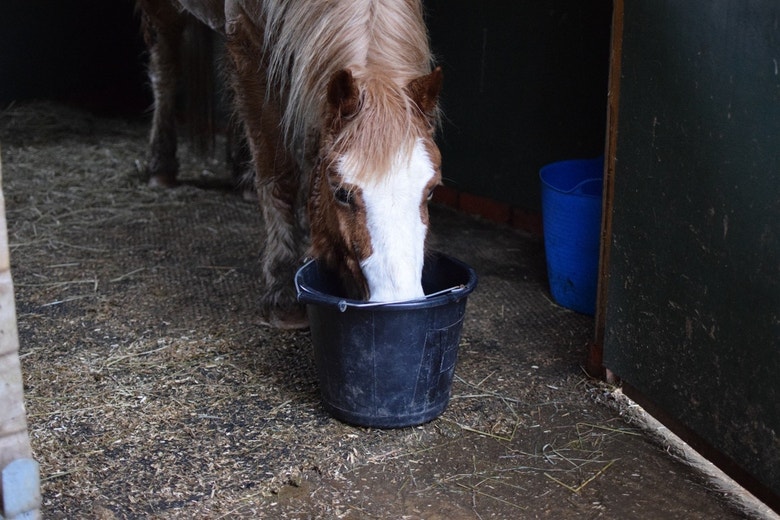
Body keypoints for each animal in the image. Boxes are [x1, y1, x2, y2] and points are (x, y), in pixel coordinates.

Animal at [135, 0, 443, 328]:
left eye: (431, 190)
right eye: (341, 193)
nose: (398, 299)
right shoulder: (250, 43)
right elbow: (276, 167)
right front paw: (282, 286)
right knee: (164, 67)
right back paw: (160, 167)